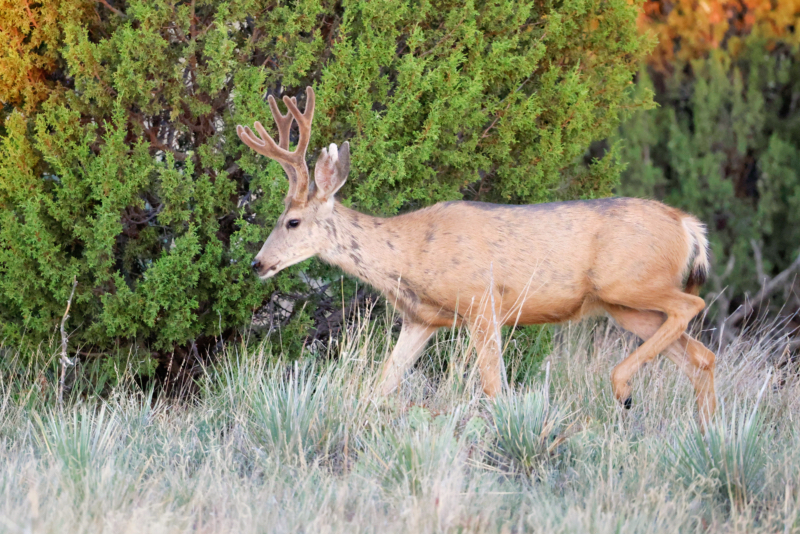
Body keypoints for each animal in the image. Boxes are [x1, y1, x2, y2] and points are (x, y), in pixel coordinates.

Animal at [238, 86, 720, 426]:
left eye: (291, 221)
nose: (257, 264)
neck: (410, 256)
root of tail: (688, 226)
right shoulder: (422, 319)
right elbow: (380, 386)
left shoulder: (481, 301)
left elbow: (494, 389)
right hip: (623, 306)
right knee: (701, 356)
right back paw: (705, 432)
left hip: (628, 282)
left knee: (692, 304)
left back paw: (623, 388)